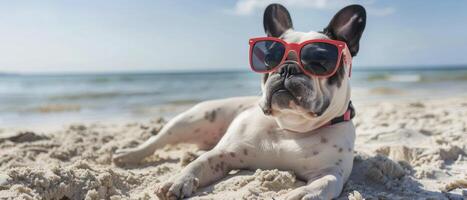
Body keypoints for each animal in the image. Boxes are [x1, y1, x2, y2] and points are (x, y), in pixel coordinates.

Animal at [113, 3, 366, 199]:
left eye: (320, 61)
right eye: (269, 58)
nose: (287, 68)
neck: (289, 128)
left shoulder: (331, 170)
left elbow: (325, 183)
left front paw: (303, 193)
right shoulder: (224, 154)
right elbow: (199, 164)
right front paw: (179, 180)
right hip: (192, 120)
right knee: (157, 140)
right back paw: (127, 154)